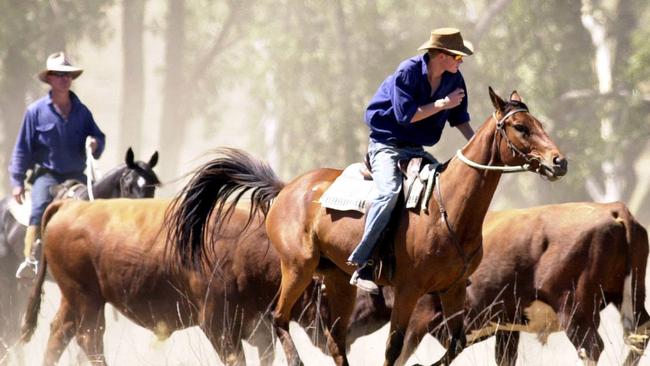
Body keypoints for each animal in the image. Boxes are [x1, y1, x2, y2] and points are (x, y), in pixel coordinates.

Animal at [168, 87, 568, 364]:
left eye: (539, 124)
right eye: (520, 127)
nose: (559, 162)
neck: (446, 208)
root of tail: (286, 189)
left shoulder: (453, 288)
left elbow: (457, 342)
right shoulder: (408, 290)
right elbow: (394, 348)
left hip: (336, 279)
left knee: (335, 339)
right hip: (297, 267)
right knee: (278, 317)